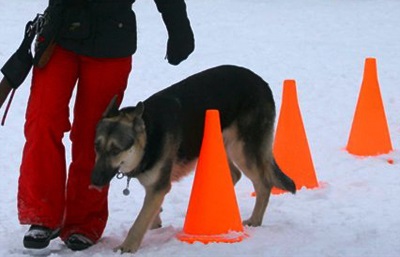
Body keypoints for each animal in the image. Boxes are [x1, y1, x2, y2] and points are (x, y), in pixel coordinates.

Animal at [91, 64, 296, 252]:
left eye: (116, 150)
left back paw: (255, 220)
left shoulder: (159, 187)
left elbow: (140, 221)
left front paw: (127, 246)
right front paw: (156, 223)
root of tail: (261, 82)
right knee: (235, 174)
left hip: (242, 150)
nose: (93, 181)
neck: (149, 135)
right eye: (97, 146)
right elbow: (151, 213)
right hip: (218, 143)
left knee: (263, 184)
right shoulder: (154, 186)